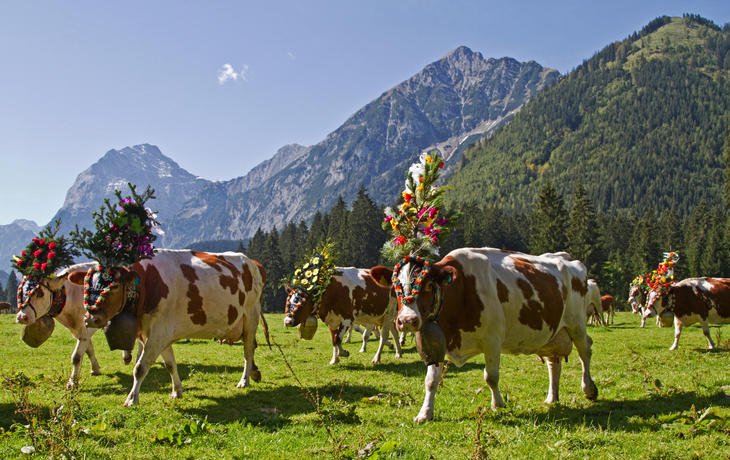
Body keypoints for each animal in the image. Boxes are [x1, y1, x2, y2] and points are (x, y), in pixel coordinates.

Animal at [69, 249, 265, 406]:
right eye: (86, 284)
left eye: (115, 286)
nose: (91, 318)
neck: (145, 286)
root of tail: (252, 262)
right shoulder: (158, 334)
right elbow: (170, 364)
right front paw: (177, 390)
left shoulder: (159, 332)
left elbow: (140, 367)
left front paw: (132, 399)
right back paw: (254, 373)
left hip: (251, 316)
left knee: (248, 351)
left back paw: (244, 380)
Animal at [382, 248, 598, 422]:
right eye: (395, 287)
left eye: (427, 285)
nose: (407, 321)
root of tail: (565, 257)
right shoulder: (439, 342)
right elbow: (430, 381)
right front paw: (425, 413)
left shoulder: (493, 339)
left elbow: (491, 377)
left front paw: (498, 404)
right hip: (552, 334)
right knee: (554, 362)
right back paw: (552, 397)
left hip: (577, 323)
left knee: (585, 351)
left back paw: (589, 389)